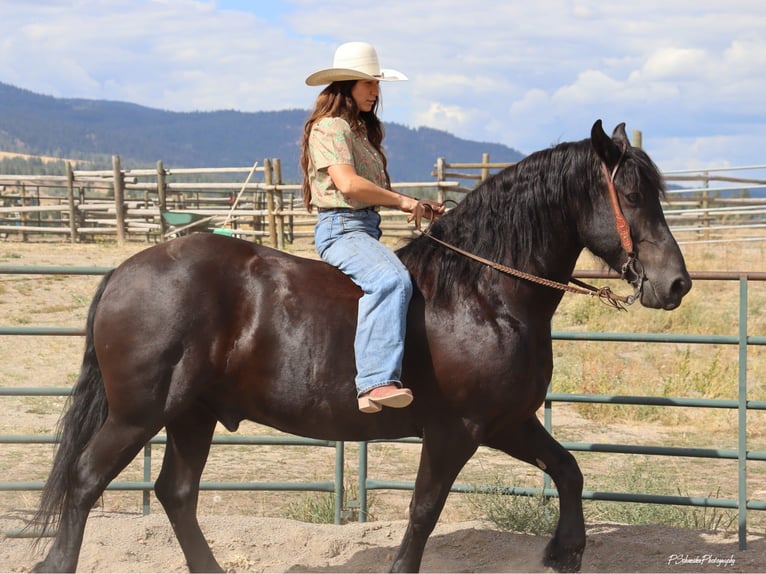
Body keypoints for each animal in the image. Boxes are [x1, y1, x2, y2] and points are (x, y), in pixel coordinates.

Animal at [30, 120, 691, 573]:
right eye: (633, 196)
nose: (676, 283)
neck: (484, 292)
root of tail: (125, 271)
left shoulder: (508, 422)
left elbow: (569, 470)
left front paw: (566, 551)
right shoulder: (457, 431)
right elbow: (424, 510)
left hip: (192, 414)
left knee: (176, 493)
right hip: (138, 414)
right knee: (86, 481)